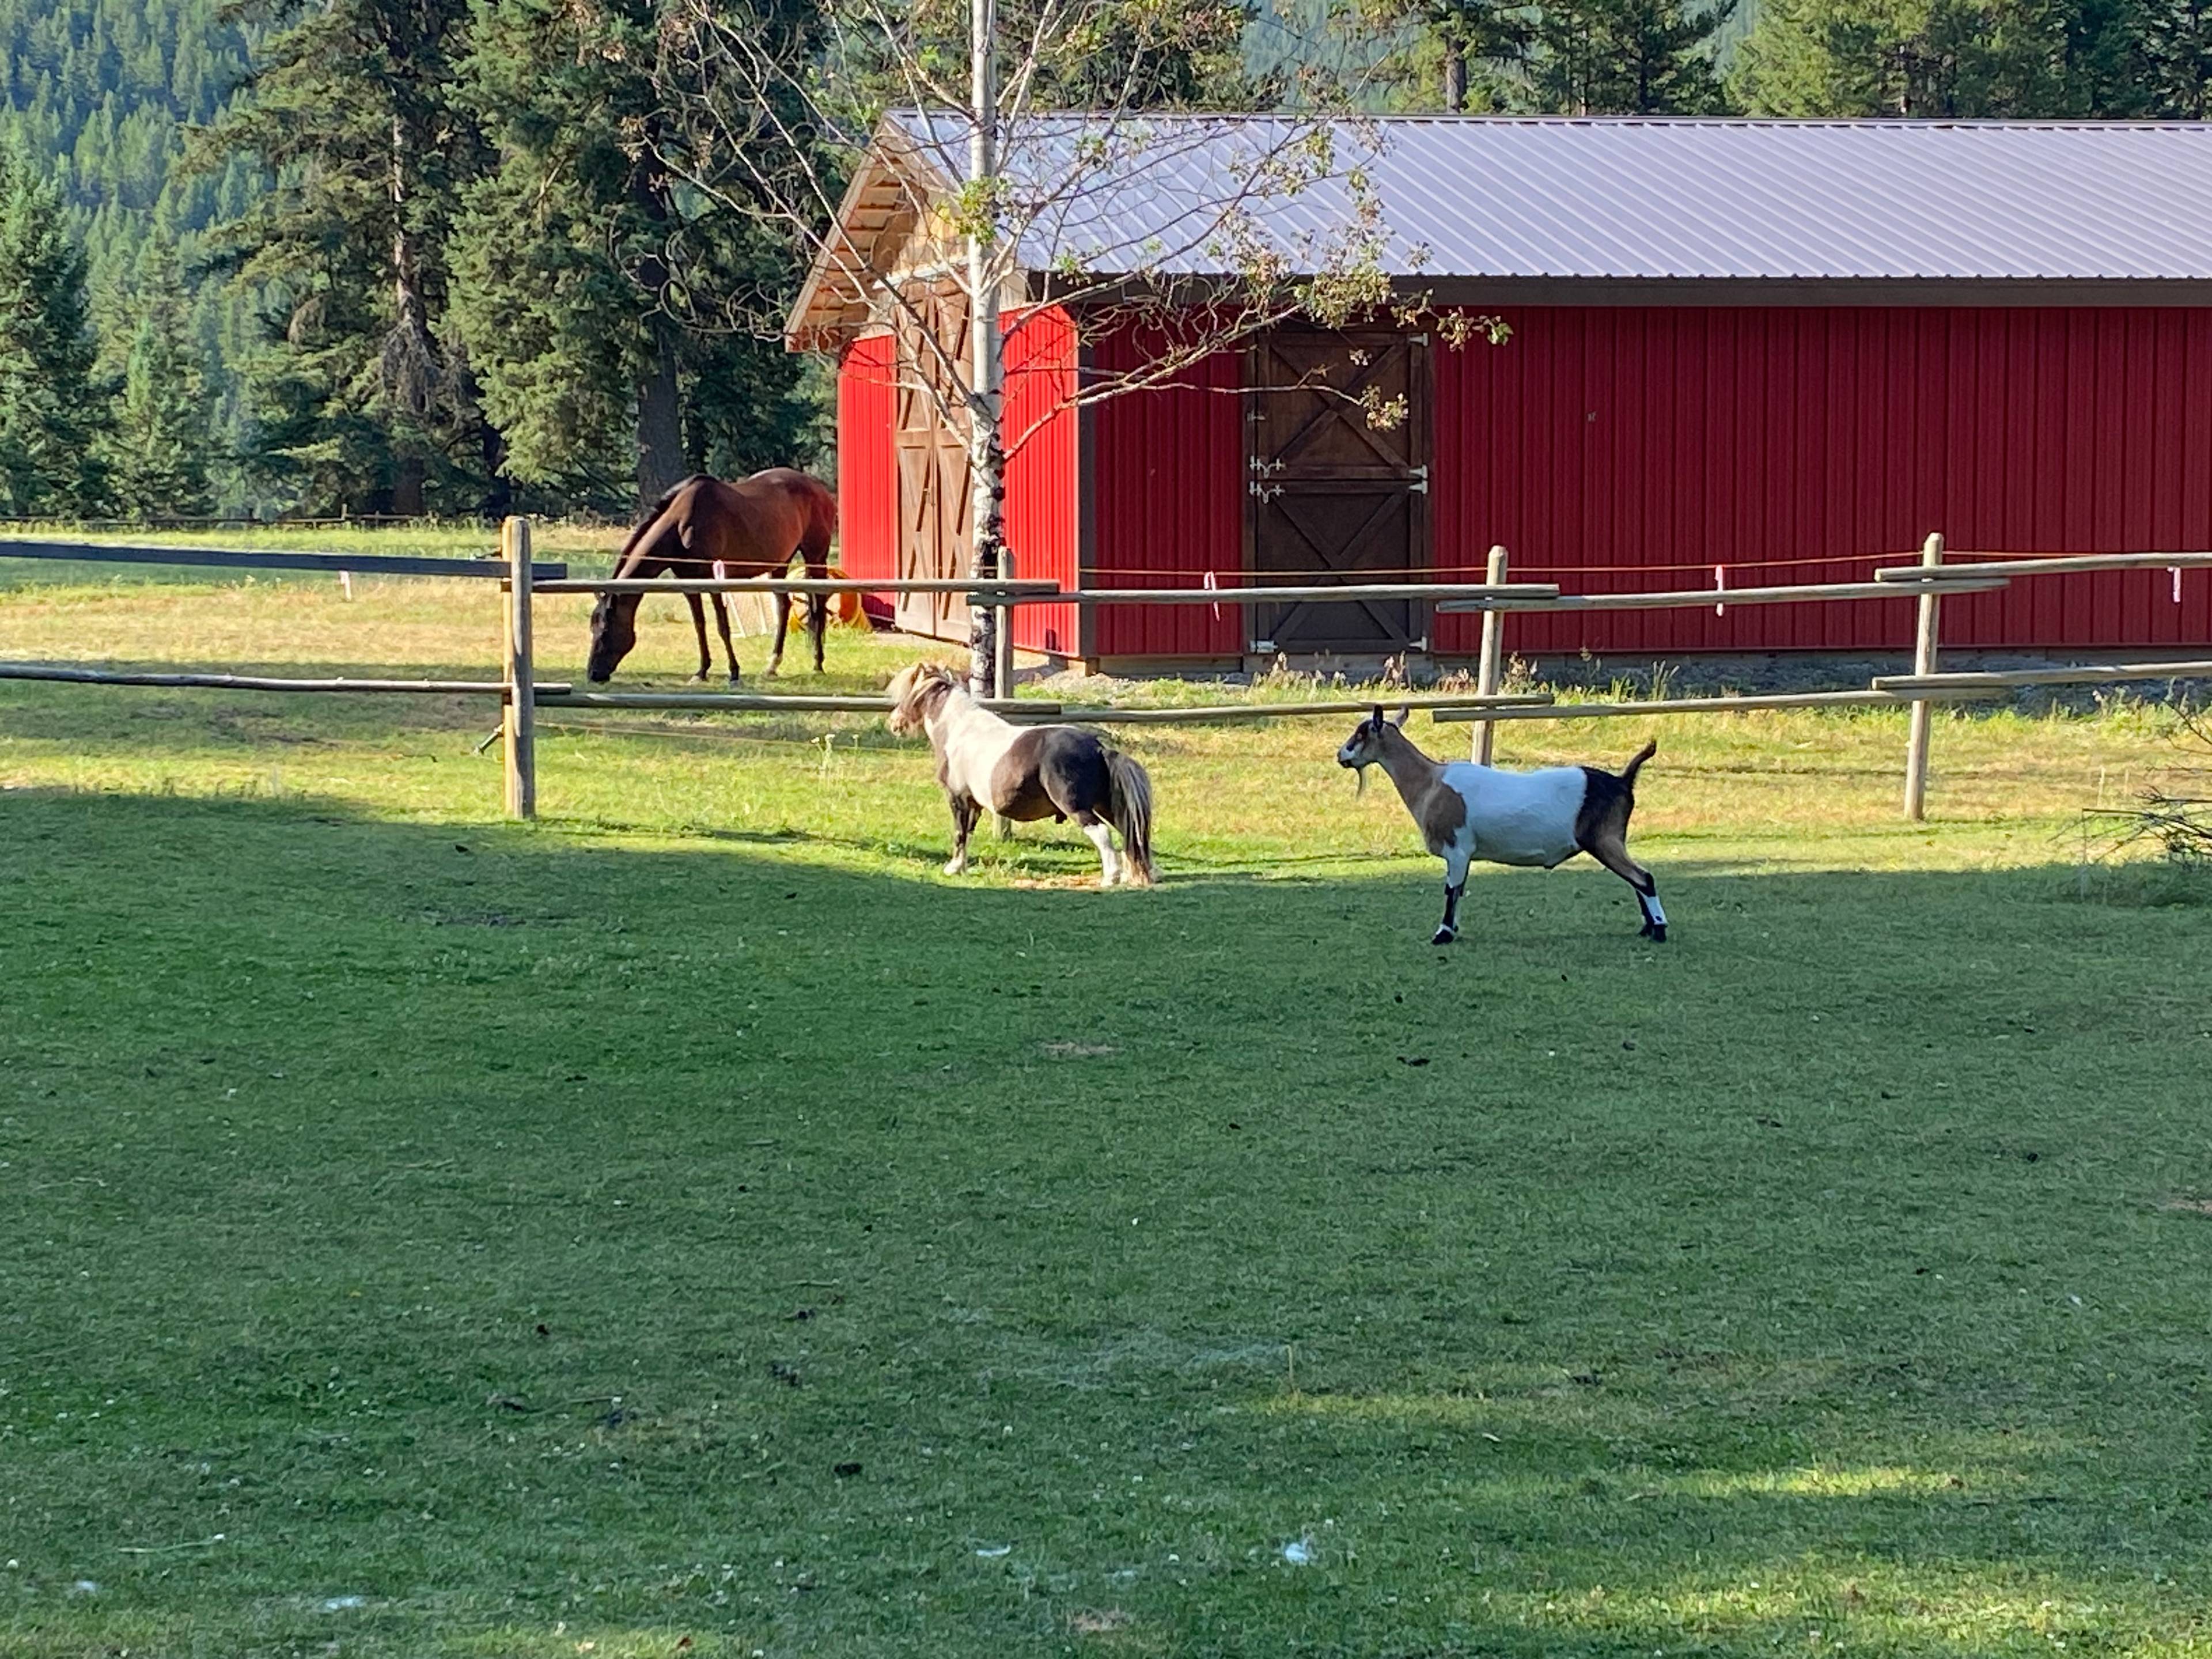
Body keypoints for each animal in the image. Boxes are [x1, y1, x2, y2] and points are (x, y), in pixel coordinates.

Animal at [585, 470, 838, 685]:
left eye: (605, 631)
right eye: (592, 627)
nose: (593, 674)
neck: (681, 525)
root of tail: (821, 489)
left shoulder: (715, 582)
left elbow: (722, 626)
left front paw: (734, 672)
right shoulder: (689, 585)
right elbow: (700, 626)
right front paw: (702, 671)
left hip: (815, 556)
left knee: (818, 604)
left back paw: (818, 663)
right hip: (779, 565)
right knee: (784, 606)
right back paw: (772, 665)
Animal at [885, 662, 1156, 887]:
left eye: (909, 693)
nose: (895, 723)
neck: (959, 731)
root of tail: (1099, 748)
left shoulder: (958, 798)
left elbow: (960, 833)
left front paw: (953, 868)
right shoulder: (974, 804)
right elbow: (969, 833)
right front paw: (960, 867)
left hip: (1077, 807)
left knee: (1102, 833)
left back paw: (1111, 878)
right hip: (1105, 804)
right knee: (1132, 832)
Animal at [1336, 707, 1667, 945]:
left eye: (1362, 733)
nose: (1341, 755)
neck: (1431, 782)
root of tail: (1623, 782)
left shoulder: (1457, 848)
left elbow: (1451, 890)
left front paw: (1443, 934)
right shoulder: (1463, 854)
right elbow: (1459, 890)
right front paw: (1453, 929)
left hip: (1604, 840)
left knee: (1643, 878)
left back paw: (1660, 930)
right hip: (1611, 841)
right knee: (1636, 880)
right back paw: (1647, 929)